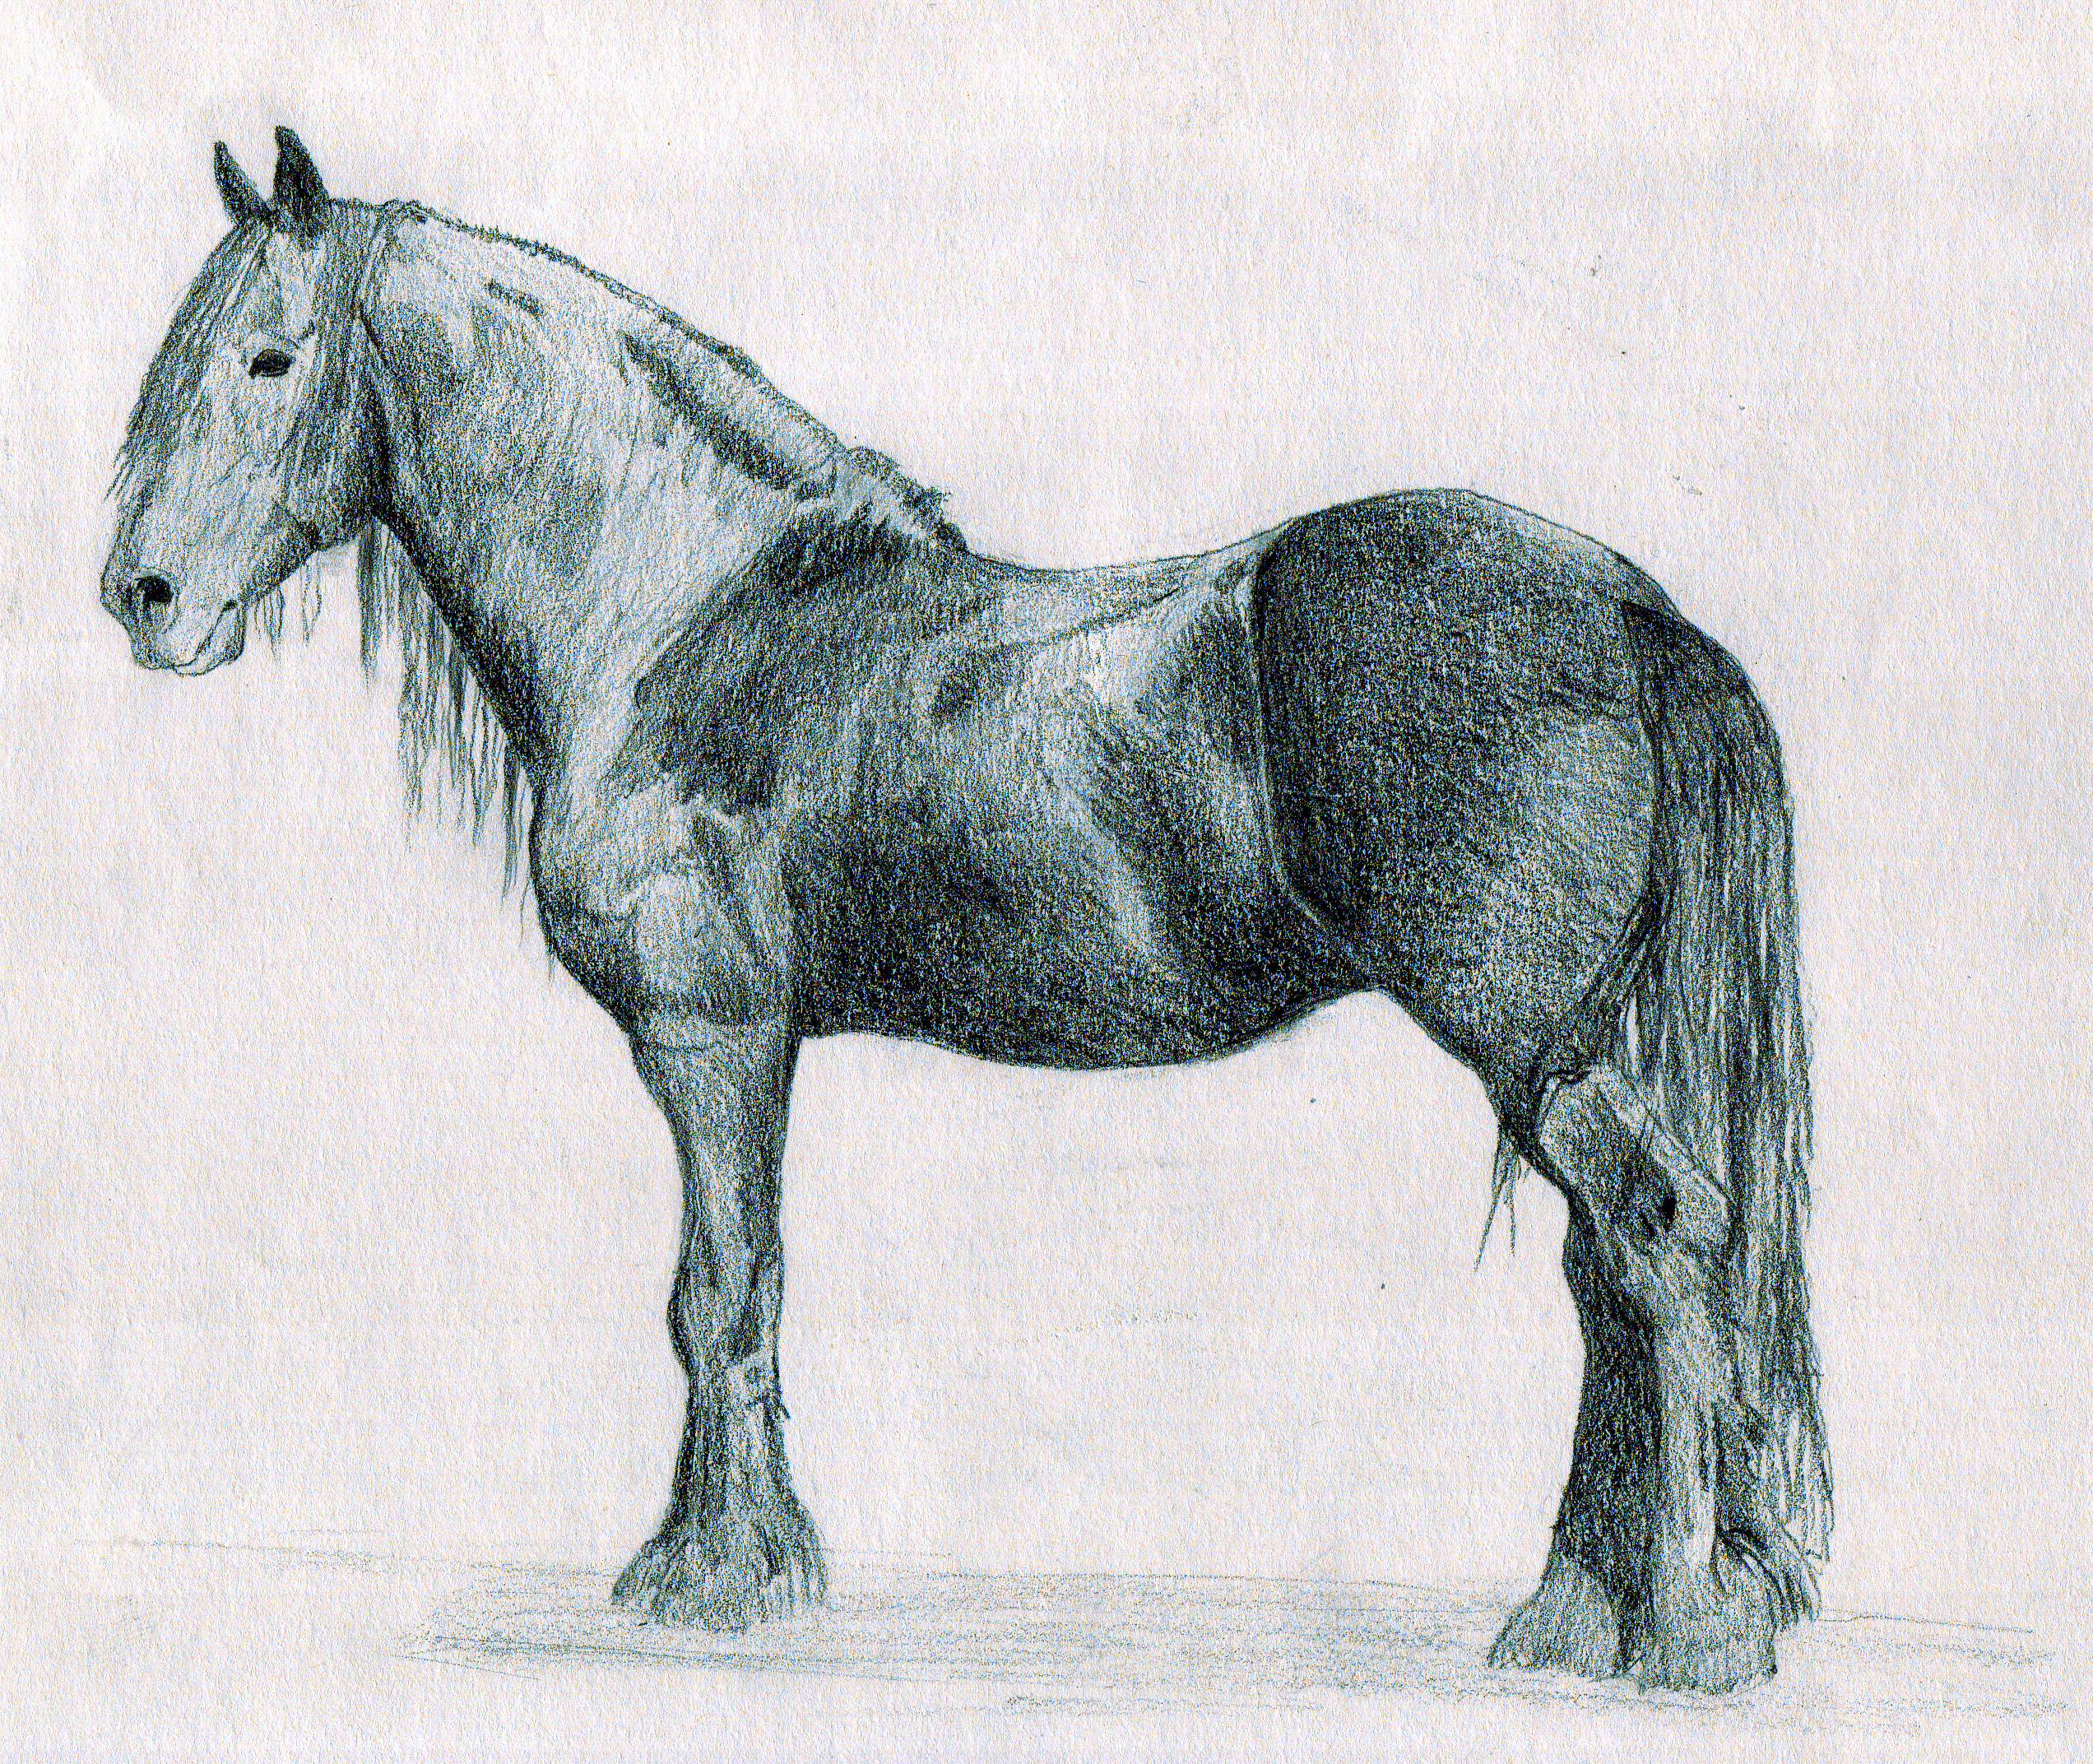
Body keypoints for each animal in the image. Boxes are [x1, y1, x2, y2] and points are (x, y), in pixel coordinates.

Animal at [103, 129, 1830, 1693]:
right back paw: (1573, 1613)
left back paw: (1684, 1626)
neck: (691, 615)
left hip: (1533, 1046)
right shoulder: (749, 1045)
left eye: (265, 358)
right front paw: (737, 1556)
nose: (144, 598)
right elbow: (736, 1280)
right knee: (1606, 1280)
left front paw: (711, 1574)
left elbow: (716, 1287)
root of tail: (1623, 604)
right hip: (1555, 1052)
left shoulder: (711, 1038)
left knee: (1661, 1241)